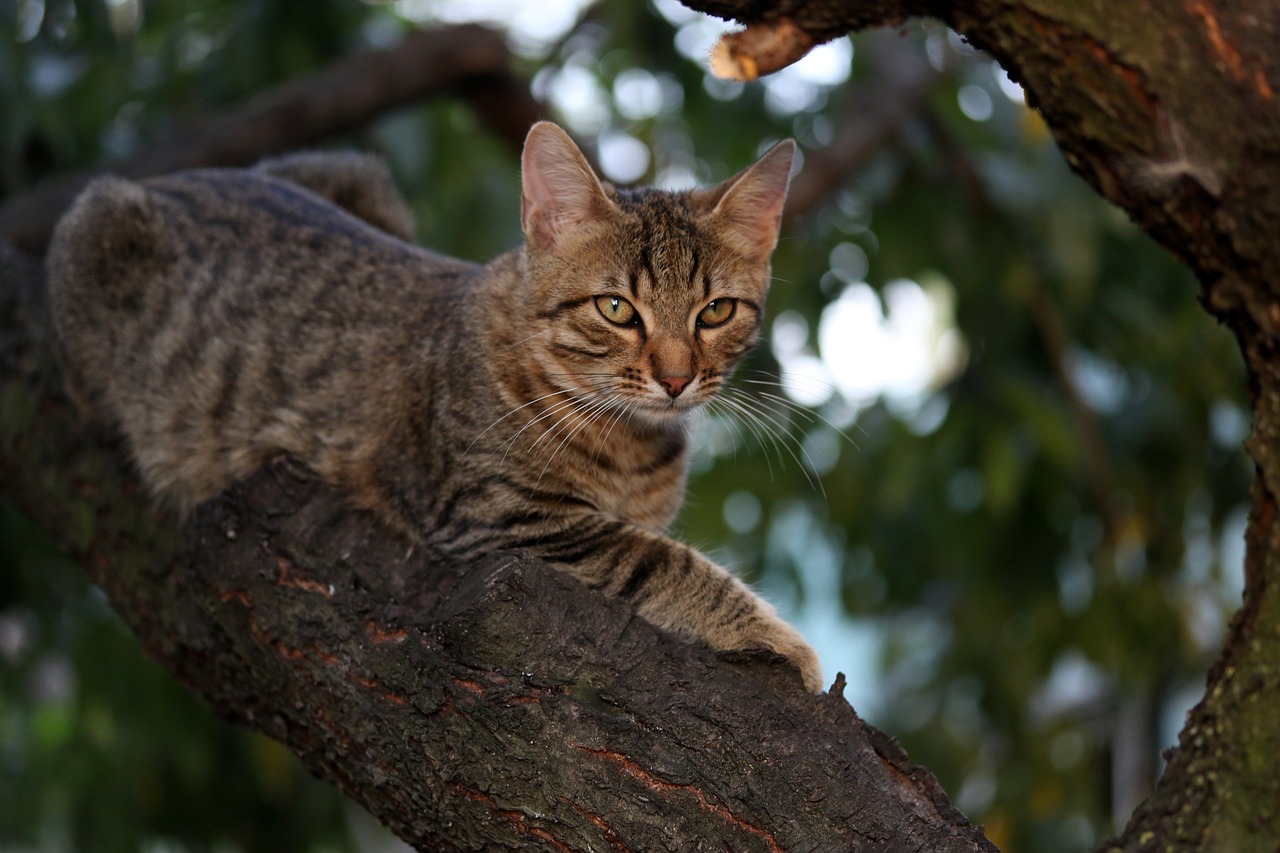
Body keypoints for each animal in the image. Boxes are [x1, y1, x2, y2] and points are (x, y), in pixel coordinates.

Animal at [45, 121, 824, 691]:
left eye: (715, 311)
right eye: (616, 309)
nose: (676, 378)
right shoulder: (507, 519)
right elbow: (662, 562)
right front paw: (780, 638)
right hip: (95, 238)